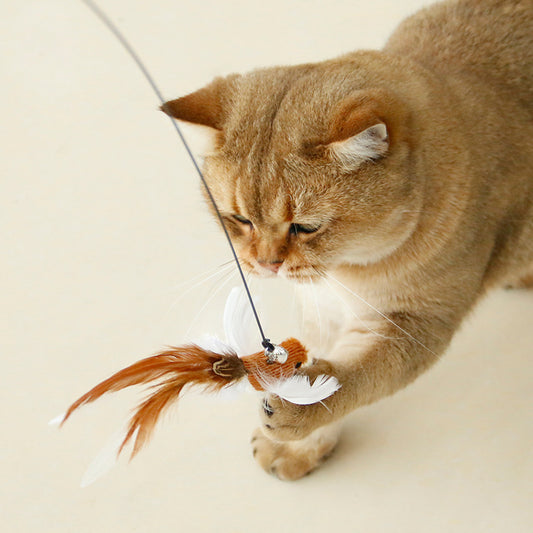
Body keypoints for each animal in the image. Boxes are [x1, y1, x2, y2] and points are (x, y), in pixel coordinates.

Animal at [159, 0, 532, 480]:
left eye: (306, 227)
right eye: (239, 219)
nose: (265, 264)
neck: (346, 272)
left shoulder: (414, 322)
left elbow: (355, 377)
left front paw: (300, 412)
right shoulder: (324, 309)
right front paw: (302, 446)